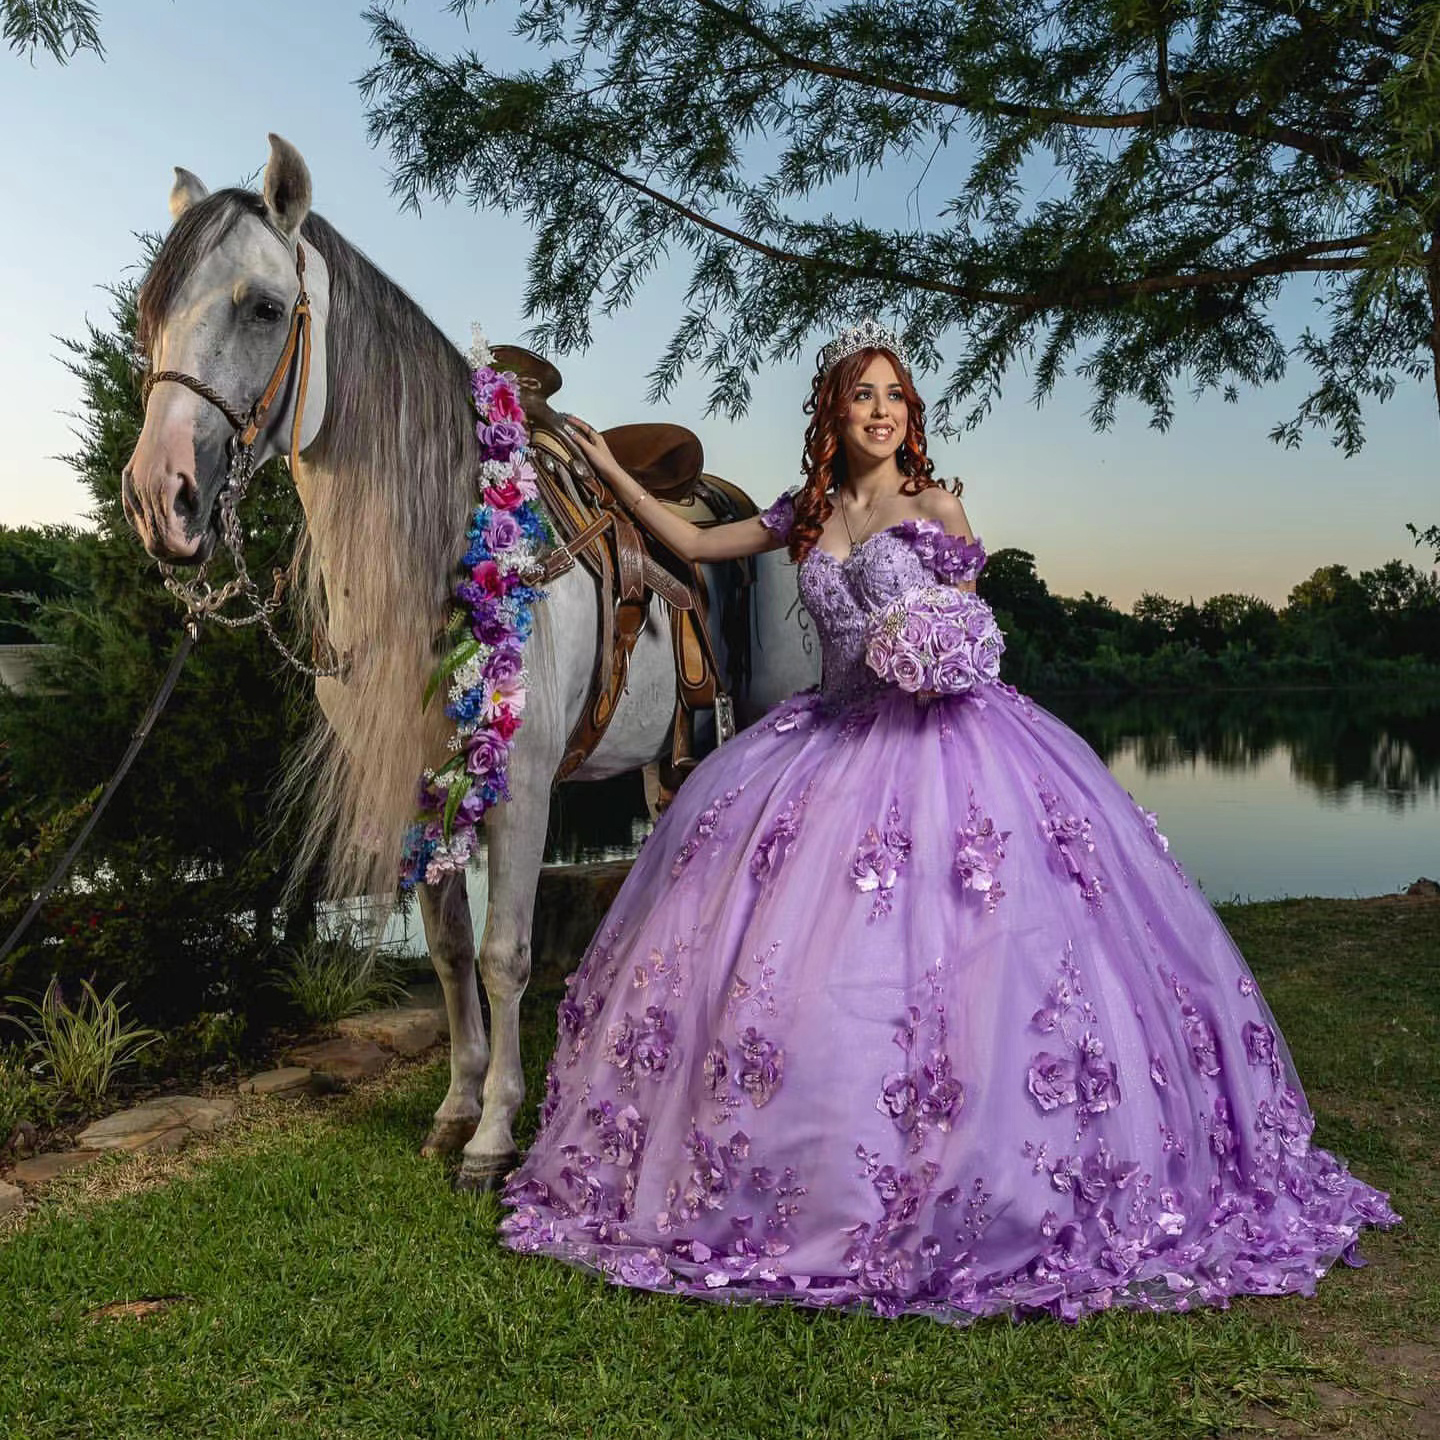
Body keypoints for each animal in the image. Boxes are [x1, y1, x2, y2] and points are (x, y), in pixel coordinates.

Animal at [120, 135, 823, 1186]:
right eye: (151, 313)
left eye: (265, 308)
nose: (157, 497)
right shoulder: (418, 776)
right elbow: (452, 950)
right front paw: (456, 1107)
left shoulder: (522, 782)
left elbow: (504, 953)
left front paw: (495, 1134)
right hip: (671, 756)